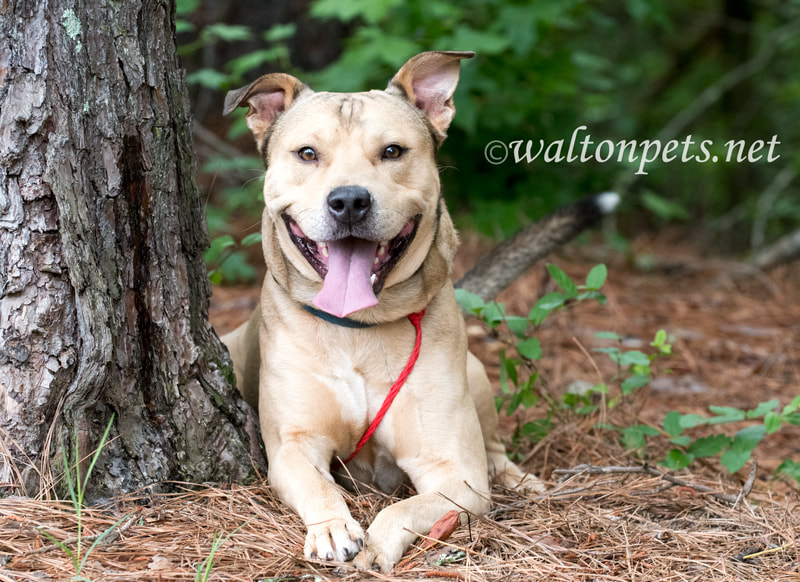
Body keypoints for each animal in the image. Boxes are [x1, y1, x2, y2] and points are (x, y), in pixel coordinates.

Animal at [223, 52, 552, 572]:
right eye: (307, 154)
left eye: (393, 152)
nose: (349, 200)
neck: (360, 327)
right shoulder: (294, 446)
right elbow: (319, 487)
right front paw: (333, 528)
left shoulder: (455, 472)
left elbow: (405, 507)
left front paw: (377, 545)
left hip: (476, 376)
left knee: (495, 448)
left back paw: (520, 479)